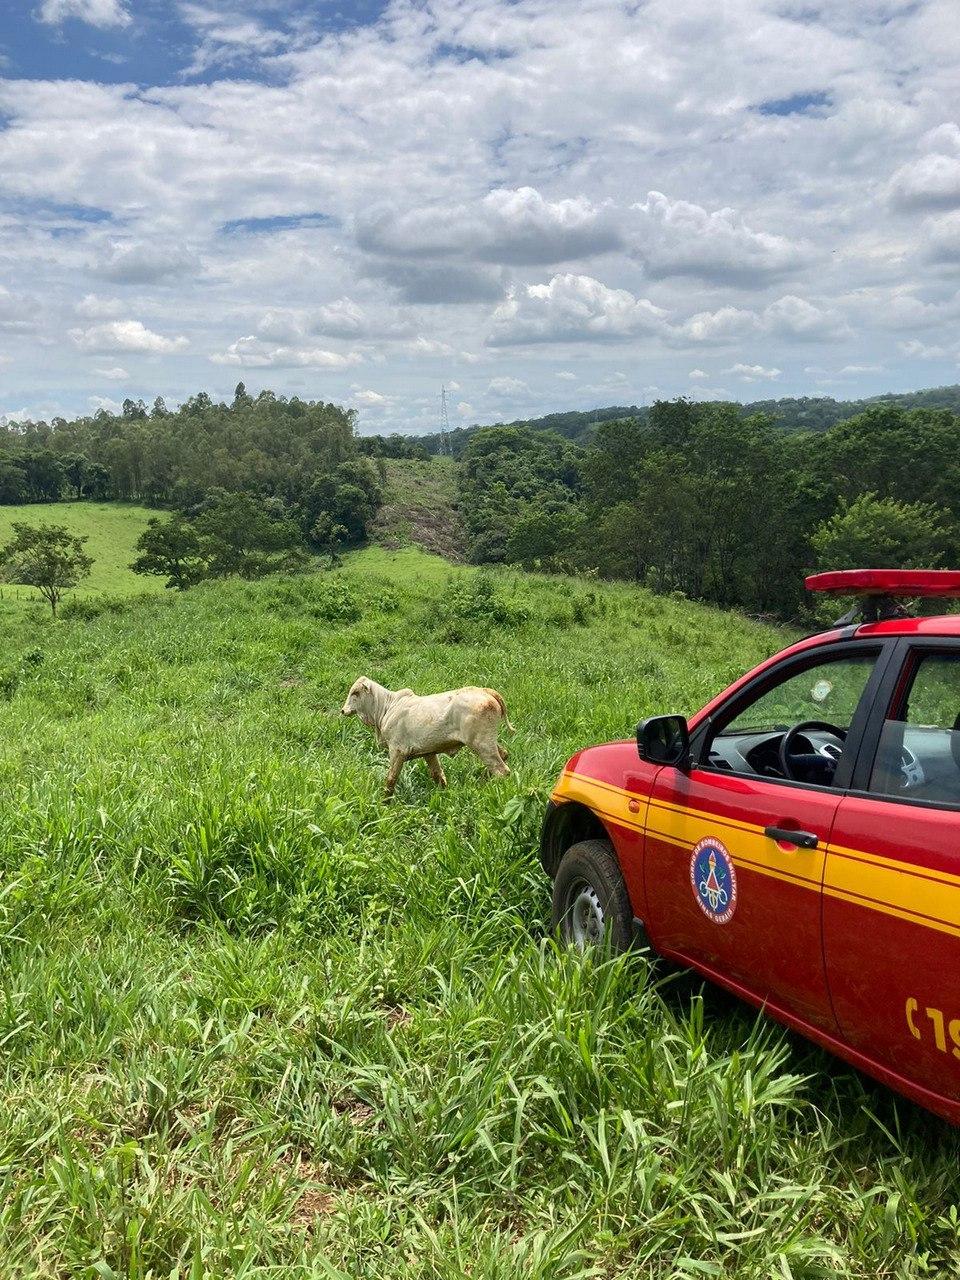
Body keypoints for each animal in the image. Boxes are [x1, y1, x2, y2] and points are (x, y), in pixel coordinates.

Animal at [343, 675, 514, 793]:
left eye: (355, 693)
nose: (343, 710)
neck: (386, 707)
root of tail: (485, 691)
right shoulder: (428, 752)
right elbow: (438, 775)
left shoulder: (397, 751)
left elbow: (391, 779)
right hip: (486, 742)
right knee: (504, 755)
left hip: (481, 744)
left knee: (501, 770)